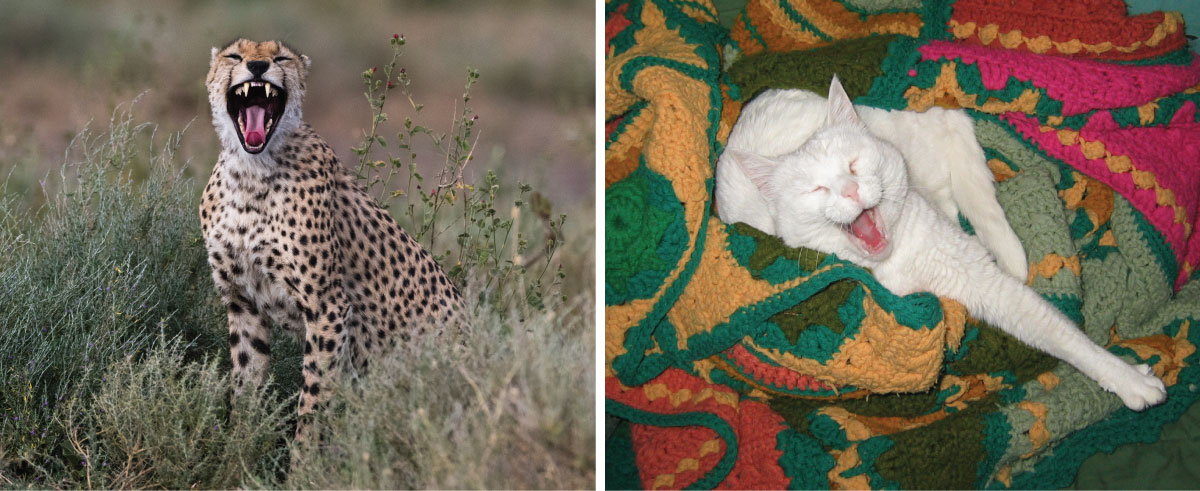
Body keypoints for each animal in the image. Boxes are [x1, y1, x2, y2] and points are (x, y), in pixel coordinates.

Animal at [199, 38, 465, 436]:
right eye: (235, 56)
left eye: (280, 57)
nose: (258, 66)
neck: (250, 171)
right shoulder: (243, 300)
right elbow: (246, 383)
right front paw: (239, 445)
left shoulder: (328, 306)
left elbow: (314, 394)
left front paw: (303, 454)